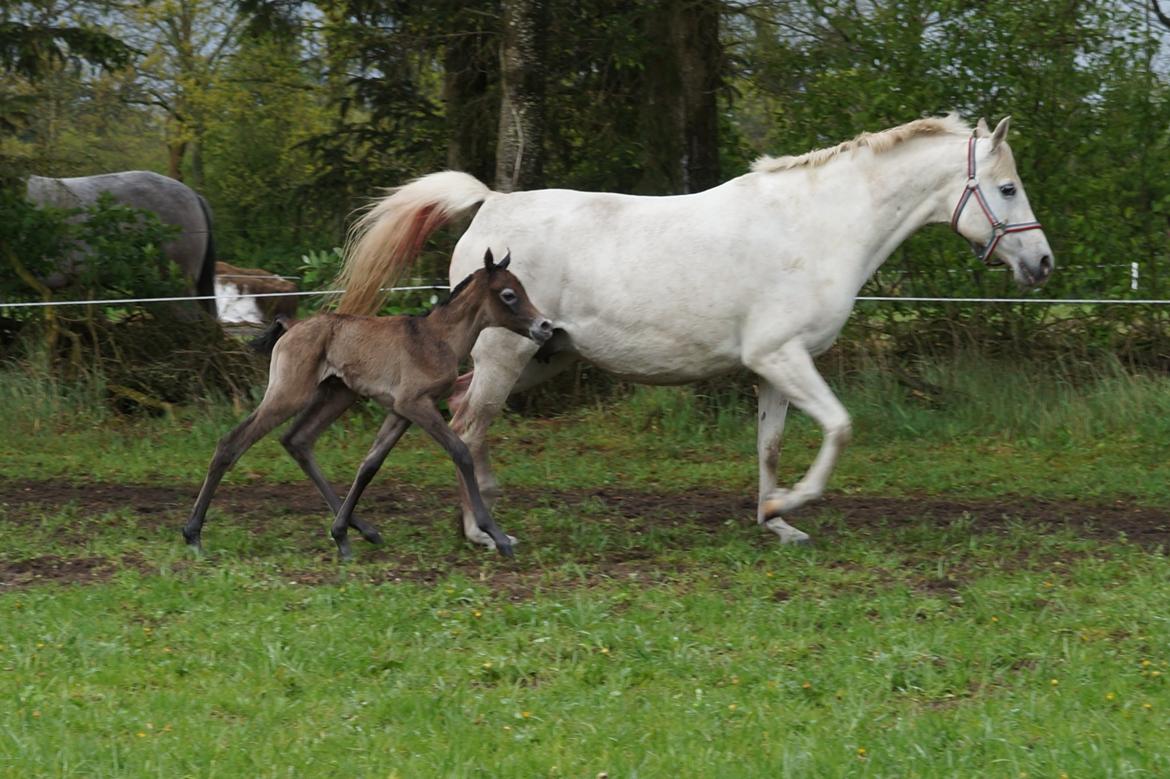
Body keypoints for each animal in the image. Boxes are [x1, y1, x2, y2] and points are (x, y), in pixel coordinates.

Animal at [181, 245, 552, 554]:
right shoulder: (415, 404)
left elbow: (370, 464)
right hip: (289, 393)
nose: (545, 326)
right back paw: (193, 534)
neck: (437, 338)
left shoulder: (401, 411)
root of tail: (291, 324)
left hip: (336, 395)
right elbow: (460, 451)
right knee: (232, 442)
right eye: (508, 294)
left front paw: (340, 532)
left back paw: (361, 532)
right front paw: (497, 535)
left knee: (297, 440)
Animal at [334, 118, 1057, 549]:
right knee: (465, 426)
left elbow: (769, 447)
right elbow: (840, 428)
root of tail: (491, 203)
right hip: (505, 354)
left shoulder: (772, 369)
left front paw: (776, 521)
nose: (1042, 263)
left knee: (466, 418)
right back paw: (479, 531)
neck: (817, 225)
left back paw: (489, 504)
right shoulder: (783, 356)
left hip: (541, 355)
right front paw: (791, 504)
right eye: (1008, 188)